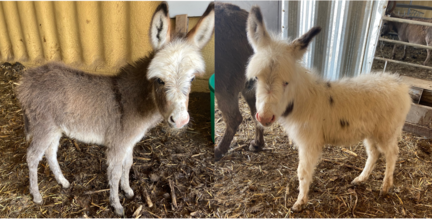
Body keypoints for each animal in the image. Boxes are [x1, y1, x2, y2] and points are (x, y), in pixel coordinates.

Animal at [16, 1, 215, 215]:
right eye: (160, 80)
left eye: (192, 79)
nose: (180, 120)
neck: (135, 101)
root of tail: (27, 80)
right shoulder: (118, 144)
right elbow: (115, 172)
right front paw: (117, 205)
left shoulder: (129, 142)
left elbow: (128, 165)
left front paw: (127, 191)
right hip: (43, 127)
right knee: (33, 156)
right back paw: (37, 196)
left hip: (55, 129)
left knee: (50, 153)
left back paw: (63, 182)